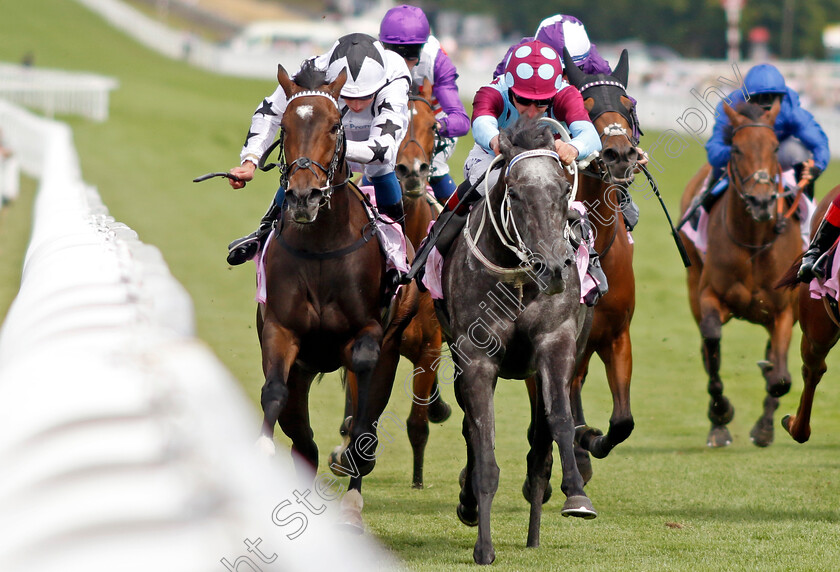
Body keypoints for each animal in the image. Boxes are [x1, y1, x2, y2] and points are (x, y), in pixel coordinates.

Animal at [253, 60, 416, 528]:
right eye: (285, 127)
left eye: (332, 126)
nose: (303, 196)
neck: (323, 245)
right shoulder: (281, 330)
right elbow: (274, 393)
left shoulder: (369, 335)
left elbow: (361, 414)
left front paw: (351, 495)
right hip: (306, 367)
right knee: (303, 437)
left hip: (391, 349)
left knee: (365, 420)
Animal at [440, 118, 592, 564]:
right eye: (516, 193)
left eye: (563, 189)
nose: (554, 267)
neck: (520, 282)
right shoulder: (475, 359)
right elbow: (483, 445)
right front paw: (483, 545)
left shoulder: (556, 343)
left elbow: (560, 421)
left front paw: (577, 495)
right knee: (471, 432)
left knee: (539, 445)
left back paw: (534, 532)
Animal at [676, 100, 800, 450]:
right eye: (736, 149)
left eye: (775, 147)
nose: (761, 201)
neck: (754, 241)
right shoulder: (709, 296)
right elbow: (712, 343)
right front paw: (721, 415)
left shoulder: (784, 311)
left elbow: (780, 377)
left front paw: (766, 424)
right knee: (709, 349)